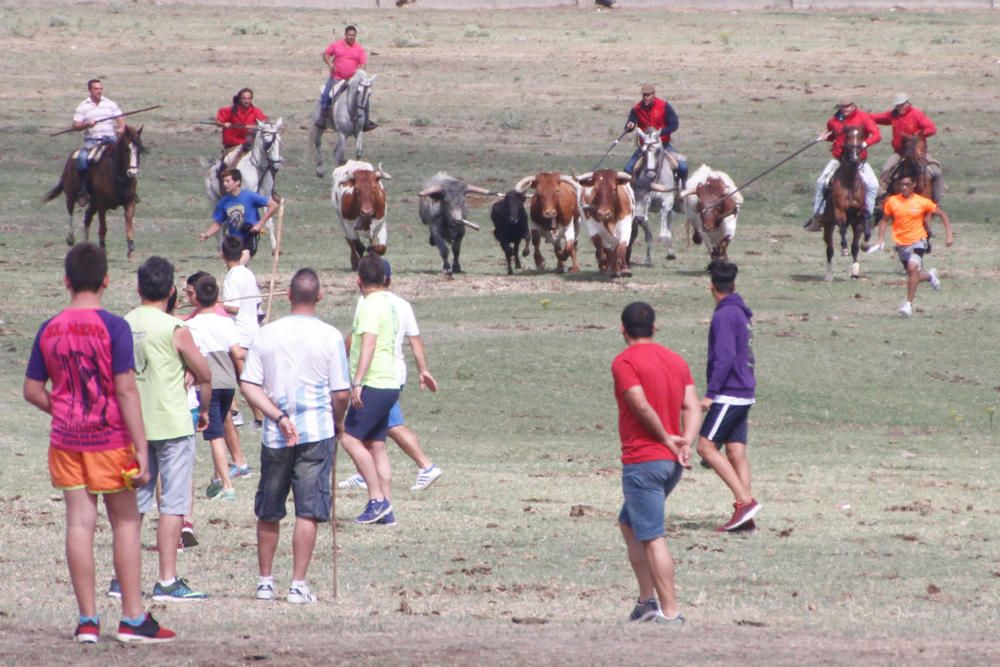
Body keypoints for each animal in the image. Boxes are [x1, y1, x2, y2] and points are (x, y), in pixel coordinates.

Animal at [44, 125, 146, 258]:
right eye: (126, 150)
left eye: (139, 149)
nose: (132, 173)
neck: (116, 175)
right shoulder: (102, 204)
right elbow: (103, 227)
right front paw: (103, 248)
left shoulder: (129, 202)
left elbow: (128, 223)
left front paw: (131, 248)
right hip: (71, 195)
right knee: (71, 212)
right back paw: (71, 239)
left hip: (93, 203)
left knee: (87, 217)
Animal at [203, 117, 282, 253]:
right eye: (267, 143)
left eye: (279, 141)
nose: (276, 165)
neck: (257, 168)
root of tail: (211, 169)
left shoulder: (265, 197)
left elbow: (269, 221)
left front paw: (274, 248)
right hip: (215, 201)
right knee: (220, 226)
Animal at [632, 126, 680, 262]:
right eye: (643, 152)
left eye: (657, 151)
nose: (650, 175)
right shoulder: (644, 203)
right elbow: (645, 224)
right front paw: (648, 257)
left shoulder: (668, 201)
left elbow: (664, 214)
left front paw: (663, 236)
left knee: (669, 223)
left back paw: (670, 251)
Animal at [824, 126, 872, 280]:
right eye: (847, 137)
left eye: (861, 137)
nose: (855, 159)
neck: (850, 182)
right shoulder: (839, 211)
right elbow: (842, 228)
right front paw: (844, 249)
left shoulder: (859, 215)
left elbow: (856, 246)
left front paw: (855, 270)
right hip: (828, 224)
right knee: (830, 249)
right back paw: (829, 275)